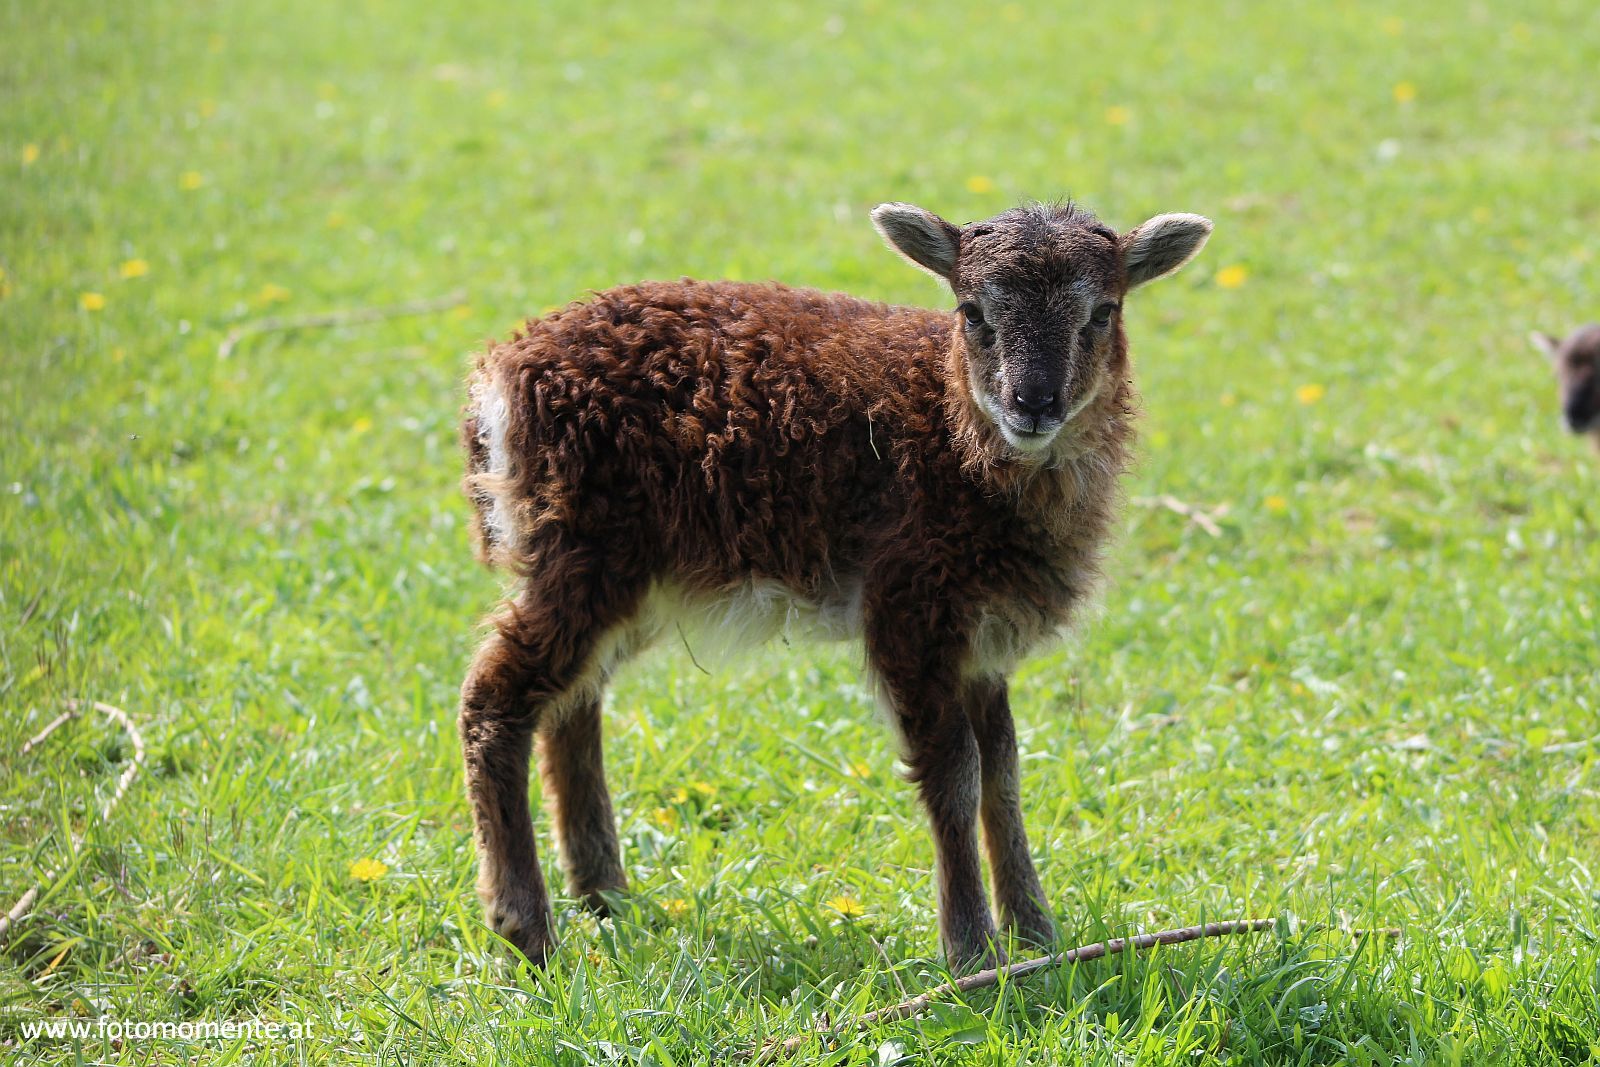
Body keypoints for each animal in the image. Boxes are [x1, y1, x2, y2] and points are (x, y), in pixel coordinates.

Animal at [457, 198, 1203, 966]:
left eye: (1103, 312)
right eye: (971, 311)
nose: (1034, 402)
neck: (950, 429)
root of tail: (498, 377)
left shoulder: (983, 632)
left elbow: (1004, 770)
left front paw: (1036, 935)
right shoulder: (909, 604)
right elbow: (955, 773)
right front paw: (973, 950)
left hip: (632, 577)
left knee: (572, 704)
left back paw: (605, 894)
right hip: (585, 552)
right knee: (494, 698)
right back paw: (526, 927)